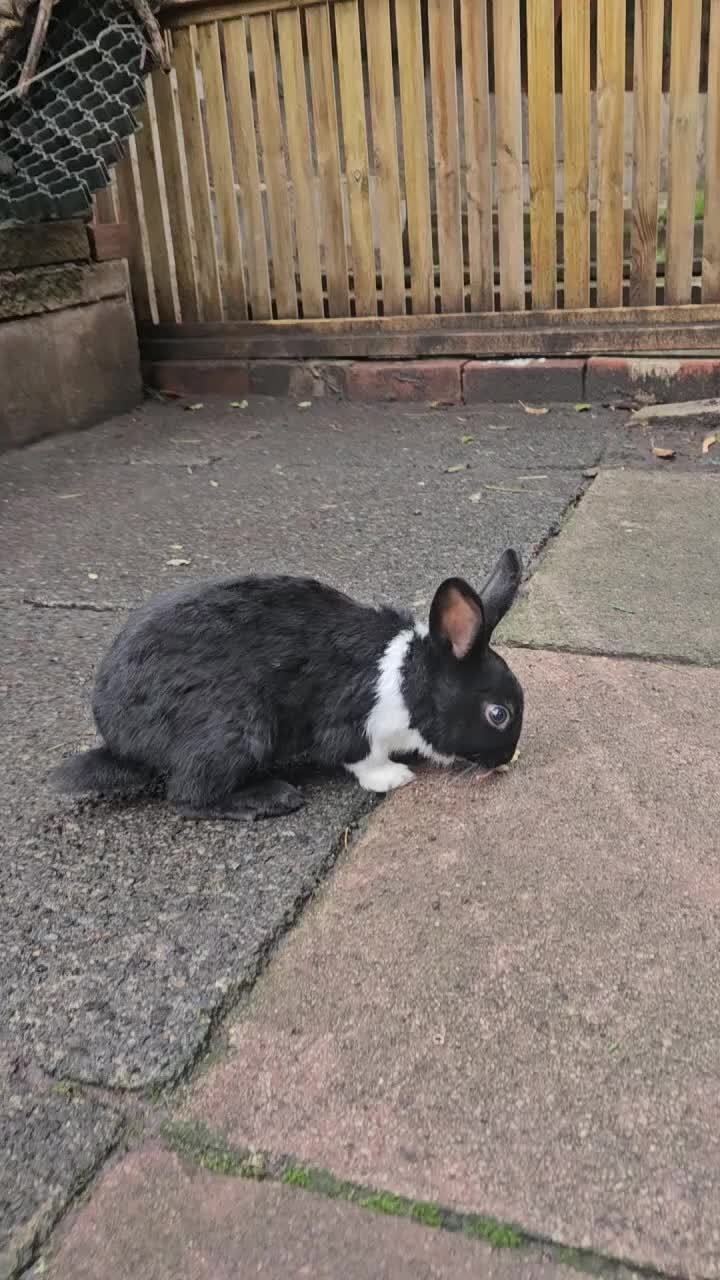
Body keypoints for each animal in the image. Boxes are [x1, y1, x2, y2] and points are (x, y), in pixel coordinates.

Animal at [50, 548, 524, 821]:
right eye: (497, 714)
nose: (505, 759)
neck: (409, 681)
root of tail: (120, 740)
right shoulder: (351, 722)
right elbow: (359, 755)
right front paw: (393, 778)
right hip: (235, 732)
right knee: (187, 797)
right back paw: (271, 799)